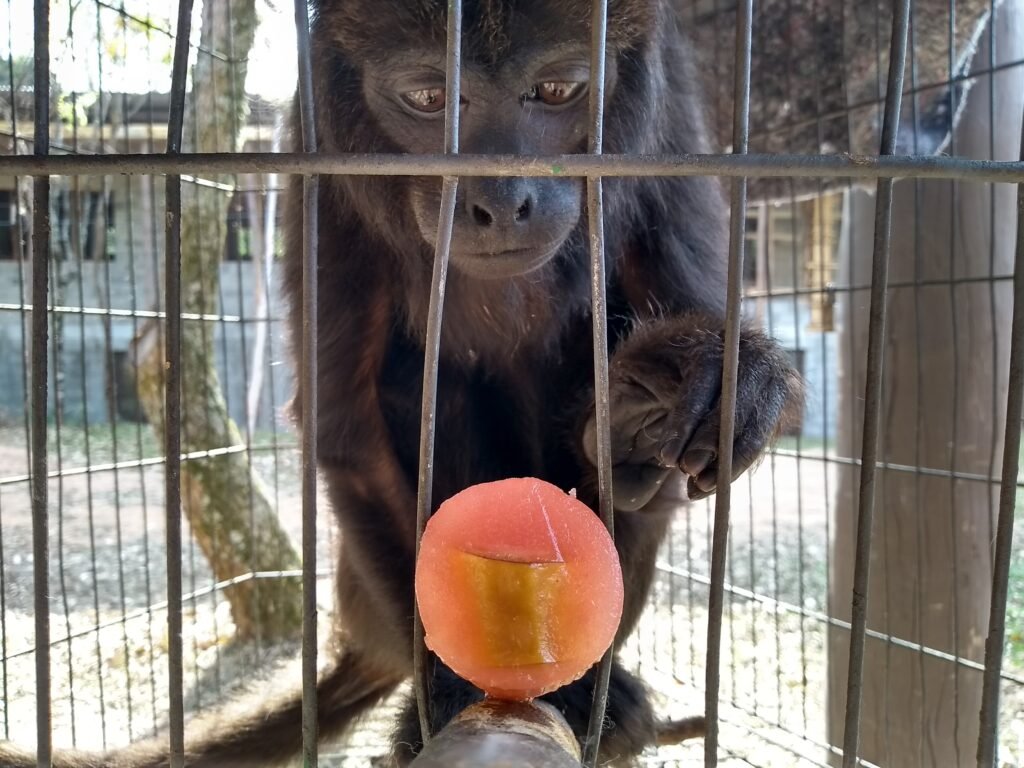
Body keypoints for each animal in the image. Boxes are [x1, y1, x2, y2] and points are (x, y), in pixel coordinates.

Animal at [0, 1, 798, 768]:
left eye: (556, 90)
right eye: (428, 97)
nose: (499, 200)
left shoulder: (670, 118)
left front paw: (718, 373)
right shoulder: (320, 161)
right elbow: (349, 433)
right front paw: (452, 690)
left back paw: (628, 444)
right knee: (423, 387)